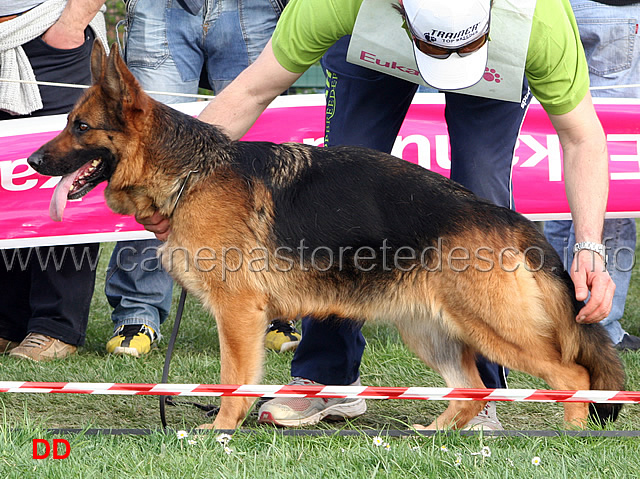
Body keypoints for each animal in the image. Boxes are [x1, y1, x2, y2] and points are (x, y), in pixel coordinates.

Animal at [27, 42, 624, 432]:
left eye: (80, 127)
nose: (32, 162)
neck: (191, 173)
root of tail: (506, 218)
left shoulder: (238, 312)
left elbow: (232, 377)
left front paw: (220, 428)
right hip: (430, 331)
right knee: (474, 386)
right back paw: (438, 433)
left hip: (495, 329)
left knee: (570, 371)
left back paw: (571, 432)